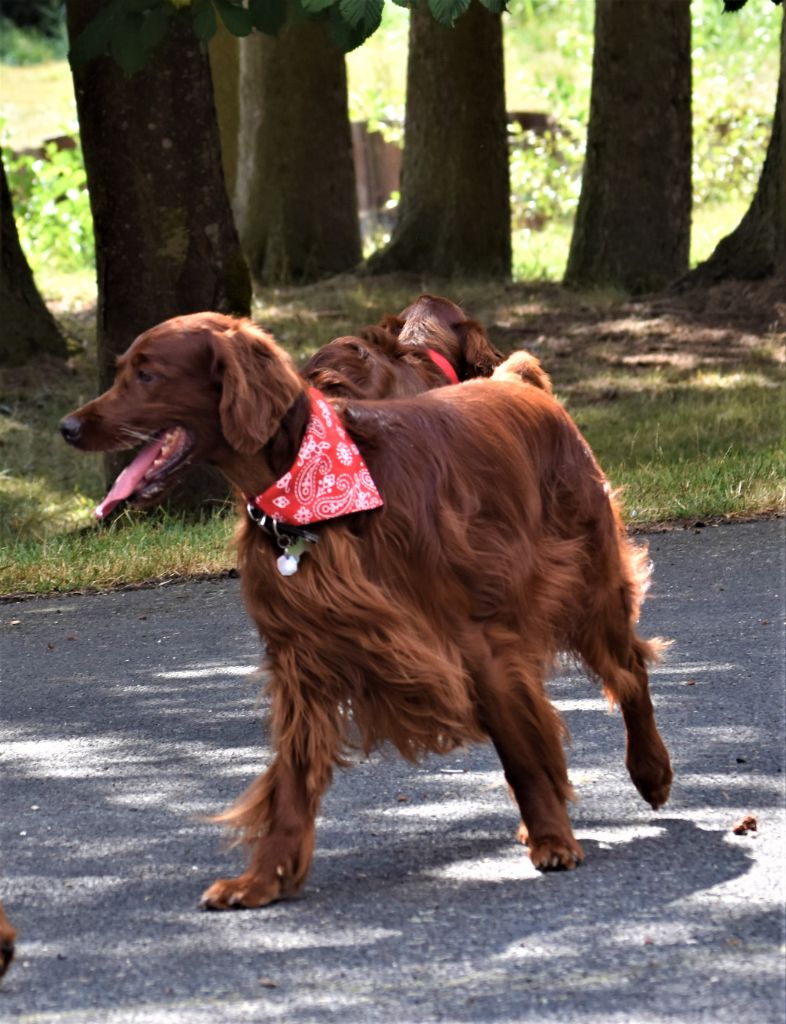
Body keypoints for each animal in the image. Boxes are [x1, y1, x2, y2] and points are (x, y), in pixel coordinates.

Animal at [60, 312, 673, 910]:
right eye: (122, 369)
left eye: (147, 374)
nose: (68, 428)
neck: (306, 497)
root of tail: (519, 386)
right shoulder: (303, 656)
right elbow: (293, 778)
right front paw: (262, 880)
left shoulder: (475, 639)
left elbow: (518, 746)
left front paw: (551, 837)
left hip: (587, 583)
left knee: (628, 672)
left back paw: (650, 771)